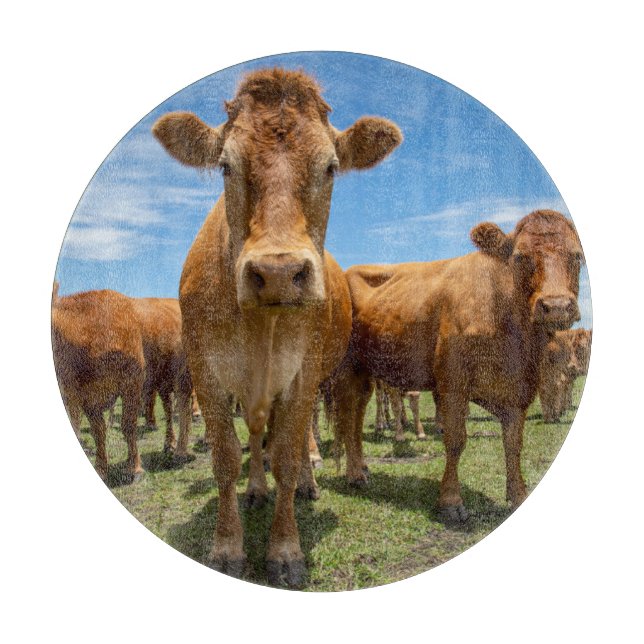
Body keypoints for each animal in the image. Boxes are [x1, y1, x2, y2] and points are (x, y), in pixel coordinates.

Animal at [52, 289, 146, 482]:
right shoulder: (82, 396)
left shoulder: (133, 380)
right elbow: (97, 431)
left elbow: (128, 425)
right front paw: (101, 468)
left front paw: (136, 468)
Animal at [152, 68, 402, 586]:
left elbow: (285, 454)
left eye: (330, 167)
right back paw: (255, 490)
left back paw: (308, 480)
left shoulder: (303, 374)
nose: (279, 272)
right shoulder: (206, 374)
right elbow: (227, 457)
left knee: (298, 437)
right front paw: (228, 544)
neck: (259, 327)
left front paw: (286, 550)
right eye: (225, 166)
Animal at [331, 210, 583, 521]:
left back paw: (362, 467)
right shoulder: (452, 383)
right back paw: (355, 474)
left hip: (365, 370)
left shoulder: (517, 391)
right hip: (345, 368)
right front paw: (451, 502)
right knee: (347, 414)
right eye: (520, 257)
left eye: (577, 255)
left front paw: (518, 495)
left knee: (356, 416)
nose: (556, 306)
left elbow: (513, 444)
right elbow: (455, 440)